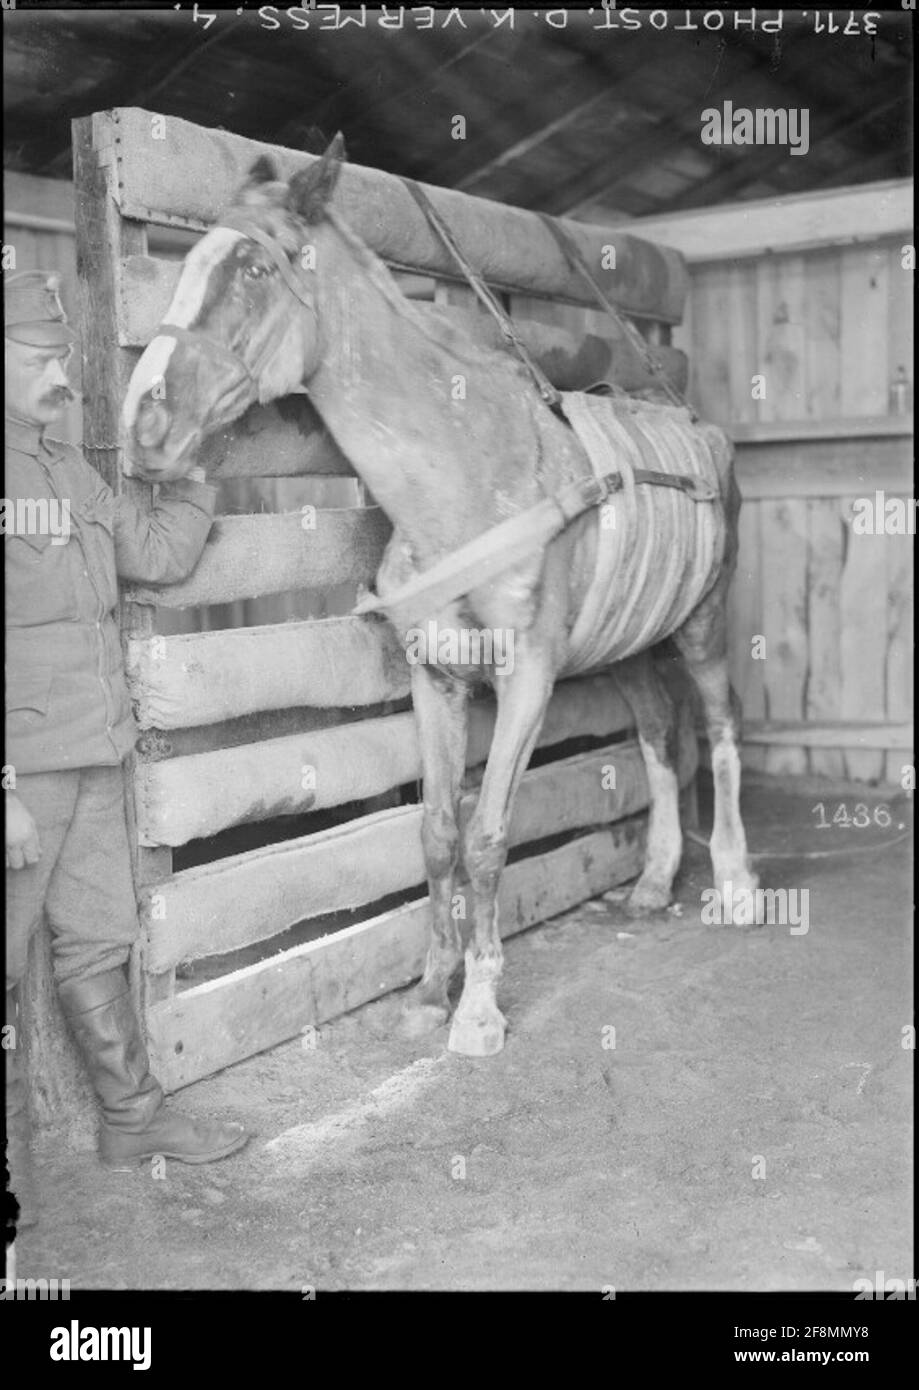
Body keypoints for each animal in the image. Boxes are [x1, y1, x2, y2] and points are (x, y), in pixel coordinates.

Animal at [120, 138, 750, 1050]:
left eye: (254, 266)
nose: (144, 425)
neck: (469, 480)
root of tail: (700, 431)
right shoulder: (436, 678)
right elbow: (438, 831)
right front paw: (428, 993)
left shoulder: (526, 680)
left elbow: (487, 837)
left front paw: (479, 1009)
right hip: (625, 643)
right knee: (659, 735)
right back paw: (652, 881)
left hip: (702, 626)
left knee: (720, 727)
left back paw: (734, 884)